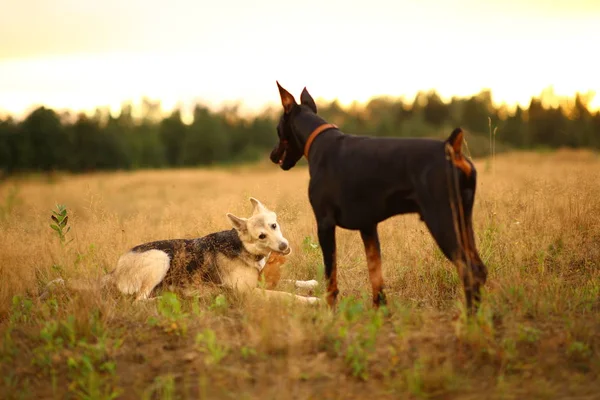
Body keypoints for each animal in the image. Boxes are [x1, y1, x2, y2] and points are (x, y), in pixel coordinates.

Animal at [105, 198, 322, 304]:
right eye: (262, 236)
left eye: (274, 225)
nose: (284, 247)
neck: (243, 248)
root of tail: (113, 272)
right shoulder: (249, 292)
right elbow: (287, 295)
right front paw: (312, 300)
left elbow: (291, 281)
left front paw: (310, 282)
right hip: (160, 257)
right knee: (138, 301)